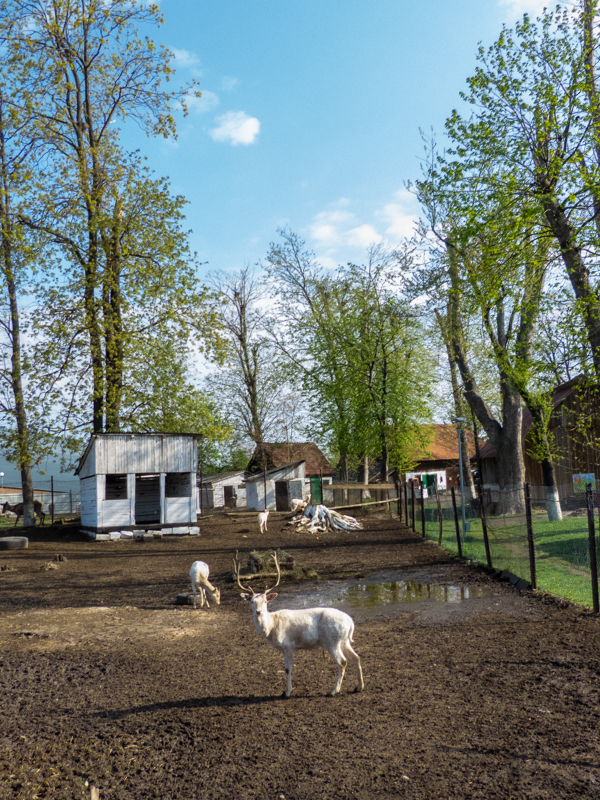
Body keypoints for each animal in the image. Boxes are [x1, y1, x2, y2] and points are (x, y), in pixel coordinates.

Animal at [234, 550, 364, 698]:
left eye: (265, 601)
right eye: (252, 601)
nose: (258, 612)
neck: (272, 627)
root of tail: (350, 622)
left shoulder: (288, 646)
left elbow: (287, 669)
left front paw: (287, 692)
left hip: (332, 641)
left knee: (343, 662)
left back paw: (334, 690)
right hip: (344, 641)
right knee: (356, 658)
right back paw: (359, 687)